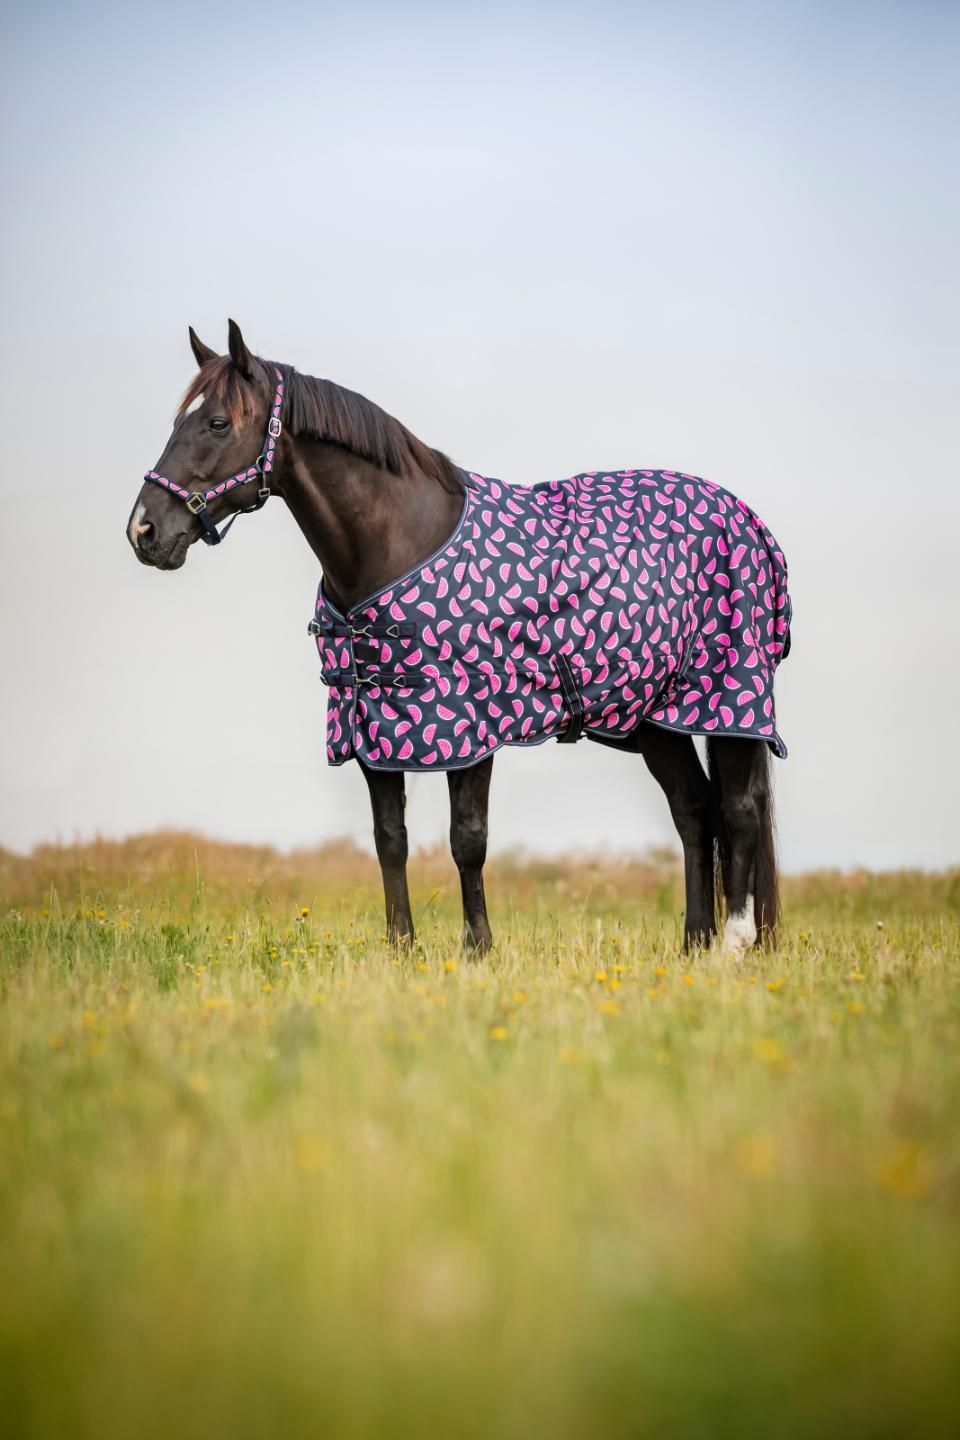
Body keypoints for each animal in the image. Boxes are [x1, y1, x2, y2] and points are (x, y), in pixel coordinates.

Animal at [127, 321, 792, 955]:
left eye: (216, 423)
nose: (144, 531)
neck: (398, 541)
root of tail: (747, 521)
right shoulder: (370, 723)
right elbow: (389, 840)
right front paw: (401, 949)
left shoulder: (470, 725)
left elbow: (467, 840)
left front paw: (477, 948)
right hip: (659, 717)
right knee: (694, 811)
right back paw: (693, 945)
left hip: (729, 702)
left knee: (737, 812)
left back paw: (734, 945)